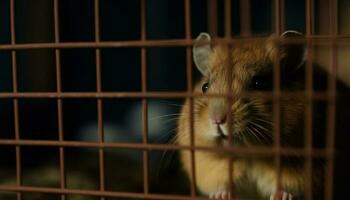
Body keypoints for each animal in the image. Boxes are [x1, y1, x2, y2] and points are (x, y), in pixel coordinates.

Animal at [178, 32, 350, 199]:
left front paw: (281, 196)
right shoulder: (211, 166)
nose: (217, 120)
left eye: (259, 83)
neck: (250, 154)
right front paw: (220, 196)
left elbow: (287, 187)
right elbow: (223, 184)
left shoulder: (302, 170)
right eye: (205, 86)